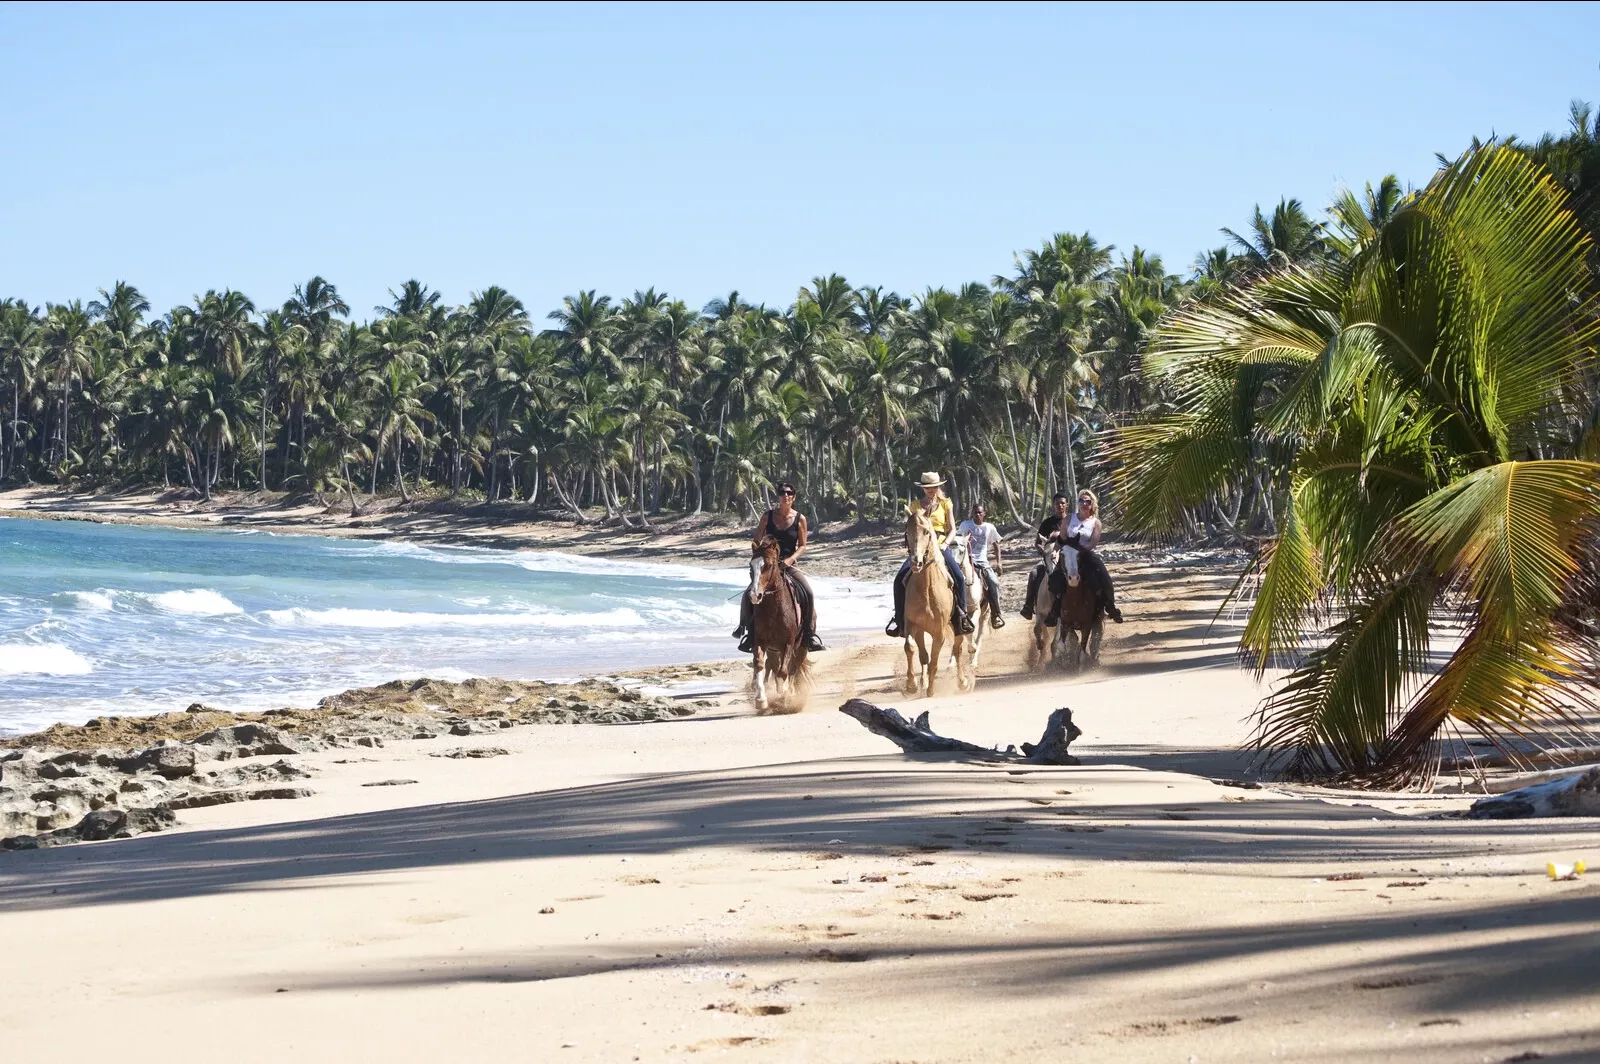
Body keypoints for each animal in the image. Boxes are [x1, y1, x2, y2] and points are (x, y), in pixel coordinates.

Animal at [742, 534, 806, 710]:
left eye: (769, 565)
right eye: (751, 566)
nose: (754, 595)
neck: (773, 609)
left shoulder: (788, 643)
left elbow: (783, 671)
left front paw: (783, 698)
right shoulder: (760, 641)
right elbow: (759, 665)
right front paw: (761, 700)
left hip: (800, 648)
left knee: (793, 668)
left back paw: (788, 693)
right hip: (773, 649)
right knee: (773, 665)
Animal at [902, 505, 972, 697]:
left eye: (927, 531)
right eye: (907, 532)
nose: (916, 563)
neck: (926, 588)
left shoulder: (939, 632)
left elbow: (934, 659)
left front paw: (931, 690)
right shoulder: (913, 625)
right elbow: (913, 649)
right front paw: (912, 685)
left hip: (957, 625)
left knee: (957, 648)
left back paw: (962, 682)